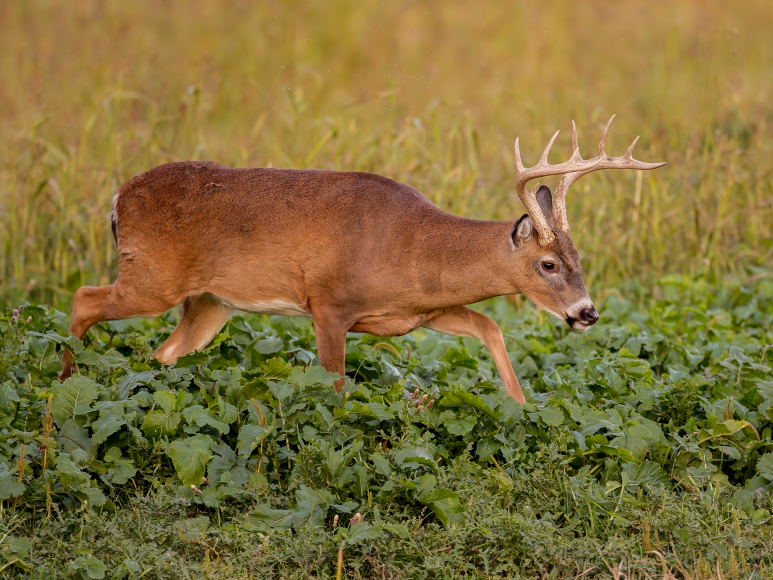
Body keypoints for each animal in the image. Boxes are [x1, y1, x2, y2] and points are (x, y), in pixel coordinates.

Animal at [61, 115, 664, 402]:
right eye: (548, 265)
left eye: (578, 255)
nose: (587, 312)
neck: (413, 246)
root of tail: (118, 198)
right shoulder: (328, 305)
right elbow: (335, 387)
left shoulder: (416, 313)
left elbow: (489, 326)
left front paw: (519, 407)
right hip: (151, 275)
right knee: (83, 298)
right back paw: (64, 385)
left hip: (209, 303)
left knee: (161, 353)